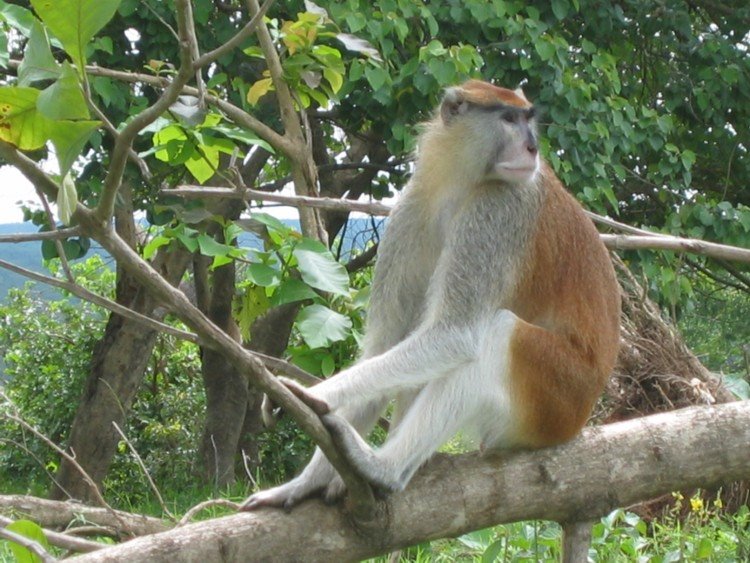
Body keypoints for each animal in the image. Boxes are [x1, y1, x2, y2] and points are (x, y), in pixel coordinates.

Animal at [242, 80, 624, 512]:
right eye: (509, 119)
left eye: (529, 120)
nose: (532, 148)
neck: (459, 178)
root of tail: (583, 413)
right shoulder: (411, 209)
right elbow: (384, 346)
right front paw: (304, 480)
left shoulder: (498, 208)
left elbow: (454, 336)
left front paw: (311, 393)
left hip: (556, 399)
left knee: (497, 335)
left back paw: (384, 469)